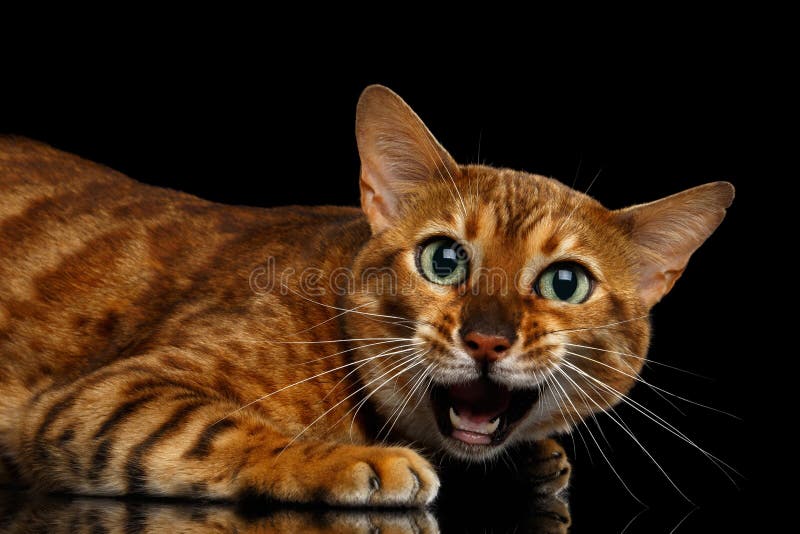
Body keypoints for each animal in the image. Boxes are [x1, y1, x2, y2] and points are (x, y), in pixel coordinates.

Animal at [0, 85, 732, 506]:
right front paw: (357, 461)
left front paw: (534, 457)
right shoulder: (104, 398)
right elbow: (222, 429)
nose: (487, 337)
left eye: (565, 282)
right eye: (444, 259)